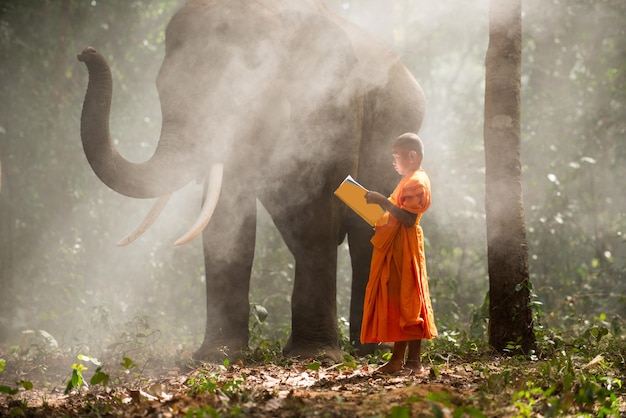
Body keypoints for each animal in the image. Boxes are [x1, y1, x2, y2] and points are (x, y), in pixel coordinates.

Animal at [75, 0, 422, 362]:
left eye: (239, 92)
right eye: (161, 87)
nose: (86, 52)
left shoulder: (332, 107)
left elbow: (319, 210)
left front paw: (314, 357)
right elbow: (227, 223)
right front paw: (216, 355)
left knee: (366, 231)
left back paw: (370, 349)